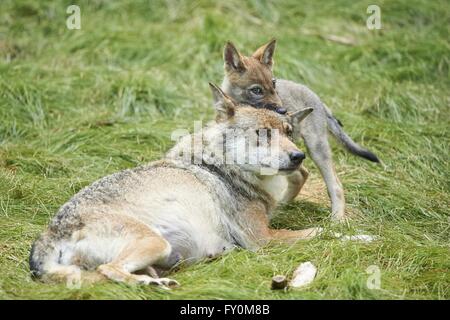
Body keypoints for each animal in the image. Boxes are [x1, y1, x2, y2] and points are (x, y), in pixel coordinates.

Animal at [29, 83, 318, 288]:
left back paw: (157, 281)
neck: (220, 167)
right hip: (155, 242)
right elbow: (317, 232)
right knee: (109, 270)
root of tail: (50, 234)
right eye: (263, 134)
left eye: (288, 133)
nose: (299, 156)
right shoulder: (262, 239)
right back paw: (150, 285)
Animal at [221, 40, 380, 221]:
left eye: (273, 84)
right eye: (256, 90)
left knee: (335, 185)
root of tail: (318, 100)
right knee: (302, 174)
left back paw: (336, 219)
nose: (284, 111)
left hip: (317, 150)